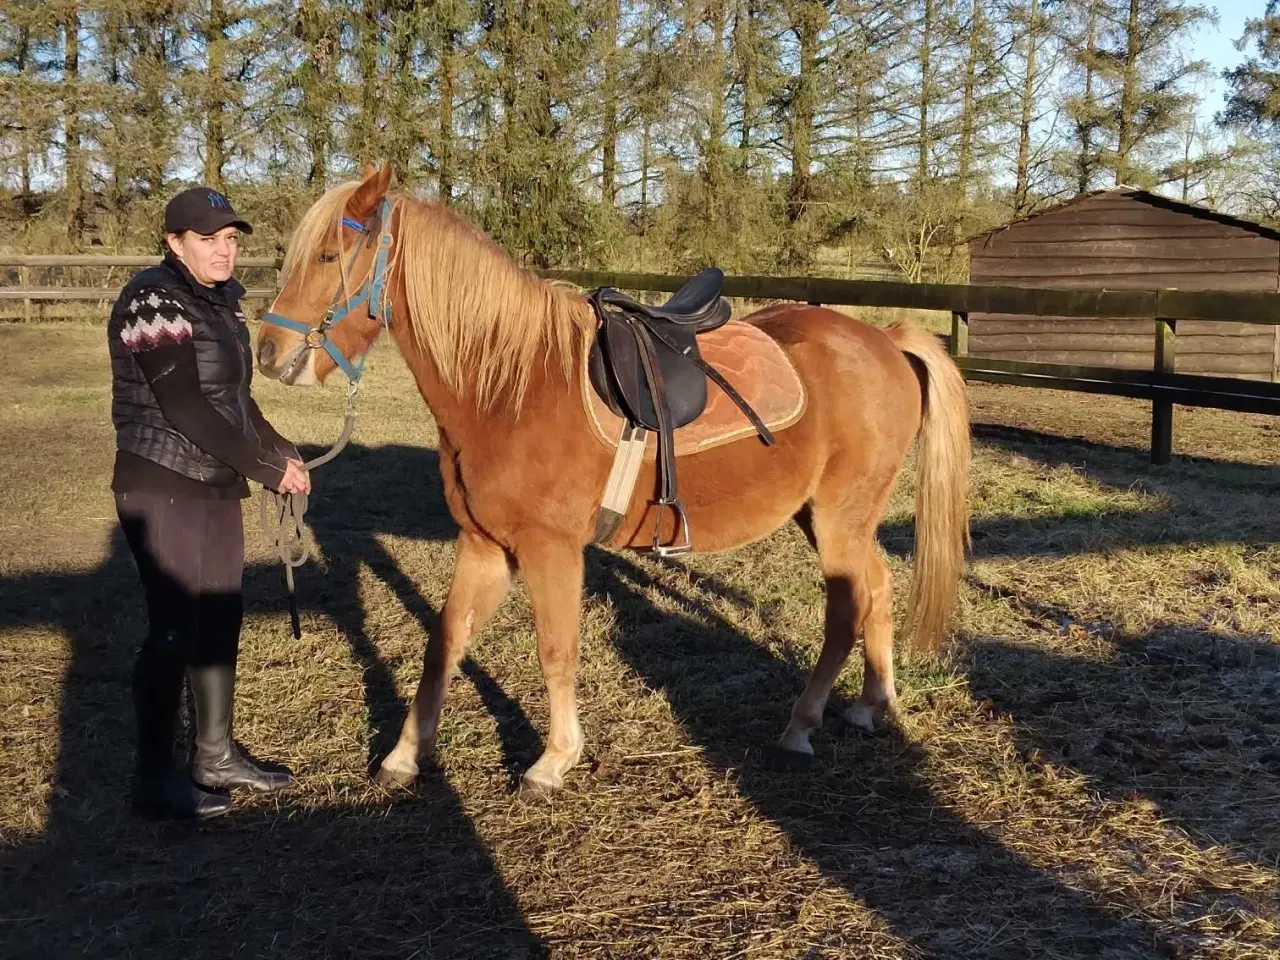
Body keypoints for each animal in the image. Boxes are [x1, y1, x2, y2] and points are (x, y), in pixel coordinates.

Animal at [255, 161, 971, 795]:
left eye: (328, 256)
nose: (268, 353)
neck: (510, 387)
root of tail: (885, 338)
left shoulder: (550, 550)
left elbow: (556, 650)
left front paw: (553, 762)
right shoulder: (484, 546)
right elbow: (445, 641)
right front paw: (405, 756)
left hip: (838, 518)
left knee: (846, 611)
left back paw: (800, 726)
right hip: (831, 518)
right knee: (878, 590)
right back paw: (871, 705)